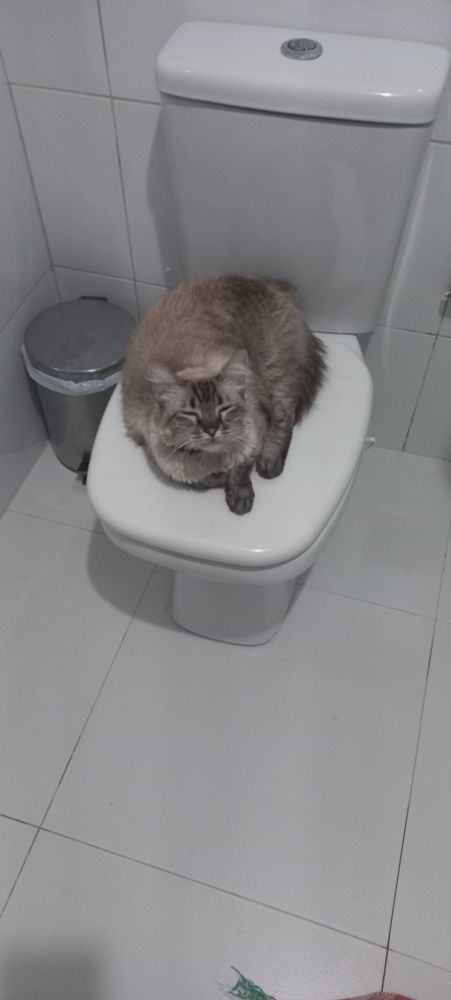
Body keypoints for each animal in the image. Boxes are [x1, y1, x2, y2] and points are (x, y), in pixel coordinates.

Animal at [122, 275, 326, 515]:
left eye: (224, 408)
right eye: (190, 414)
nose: (212, 430)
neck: (212, 457)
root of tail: (268, 282)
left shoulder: (255, 432)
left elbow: (239, 471)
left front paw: (240, 499)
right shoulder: (165, 459)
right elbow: (206, 480)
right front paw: (222, 481)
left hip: (272, 369)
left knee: (285, 415)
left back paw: (269, 463)